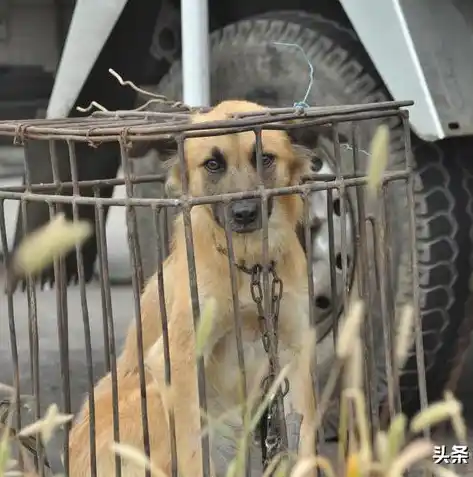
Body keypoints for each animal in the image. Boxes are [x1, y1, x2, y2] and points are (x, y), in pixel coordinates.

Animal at [68, 100, 316, 476]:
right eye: (213, 164)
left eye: (265, 158)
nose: (244, 213)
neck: (248, 267)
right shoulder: (177, 360)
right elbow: (192, 451)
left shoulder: (294, 351)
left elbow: (306, 442)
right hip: (151, 398)